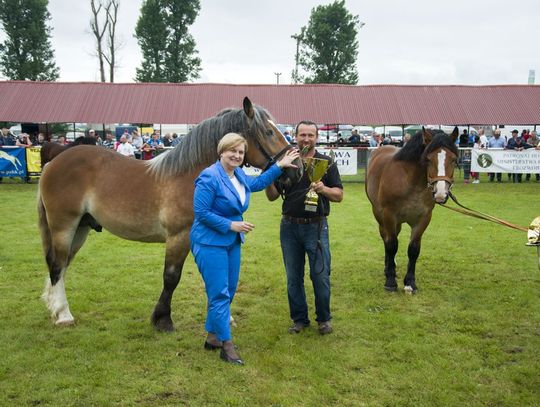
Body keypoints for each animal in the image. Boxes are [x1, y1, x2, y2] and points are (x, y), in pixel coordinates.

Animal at [39, 98, 304, 332]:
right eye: (269, 132)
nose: (297, 171)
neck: (191, 177)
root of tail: (53, 163)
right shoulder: (179, 236)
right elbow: (171, 277)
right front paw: (162, 319)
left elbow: (212, 276)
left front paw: (223, 318)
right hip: (64, 226)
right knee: (57, 264)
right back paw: (64, 315)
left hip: (81, 228)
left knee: (62, 266)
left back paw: (56, 309)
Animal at [364, 127, 458, 294]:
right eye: (428, 159)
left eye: (453, 159)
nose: (441, 193)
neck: (411, 183)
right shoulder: (389, 215)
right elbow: (391, 245)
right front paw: (390, 281)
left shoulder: (423, 218)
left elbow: (413, 249)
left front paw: (410, 283)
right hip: (380, 216)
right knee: (386, 238)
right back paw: (388, 269)